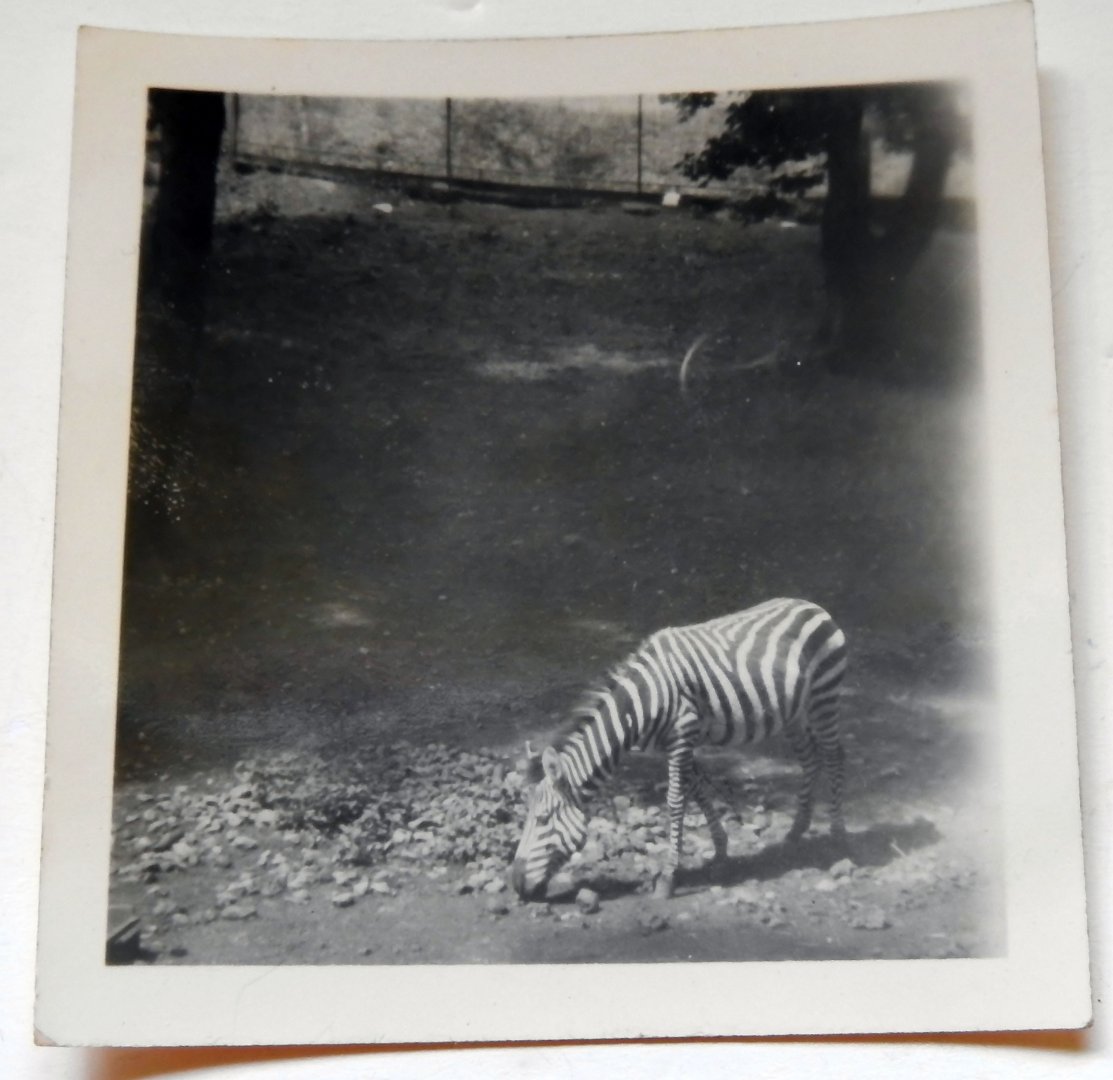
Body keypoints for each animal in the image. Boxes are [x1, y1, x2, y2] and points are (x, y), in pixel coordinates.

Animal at [509, 597, 848, 901]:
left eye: (542, 819)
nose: (516, 885)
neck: (640, 704)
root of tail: (811, 604)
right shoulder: (672, 743)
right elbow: (696, 790)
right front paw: (721, 851)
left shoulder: (684, 731)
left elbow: (675, 800)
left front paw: (668, 877)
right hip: (793, 713)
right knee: (810, 759)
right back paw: (796, 830)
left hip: (823, 697)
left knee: (834, 757)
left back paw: (837, 835)